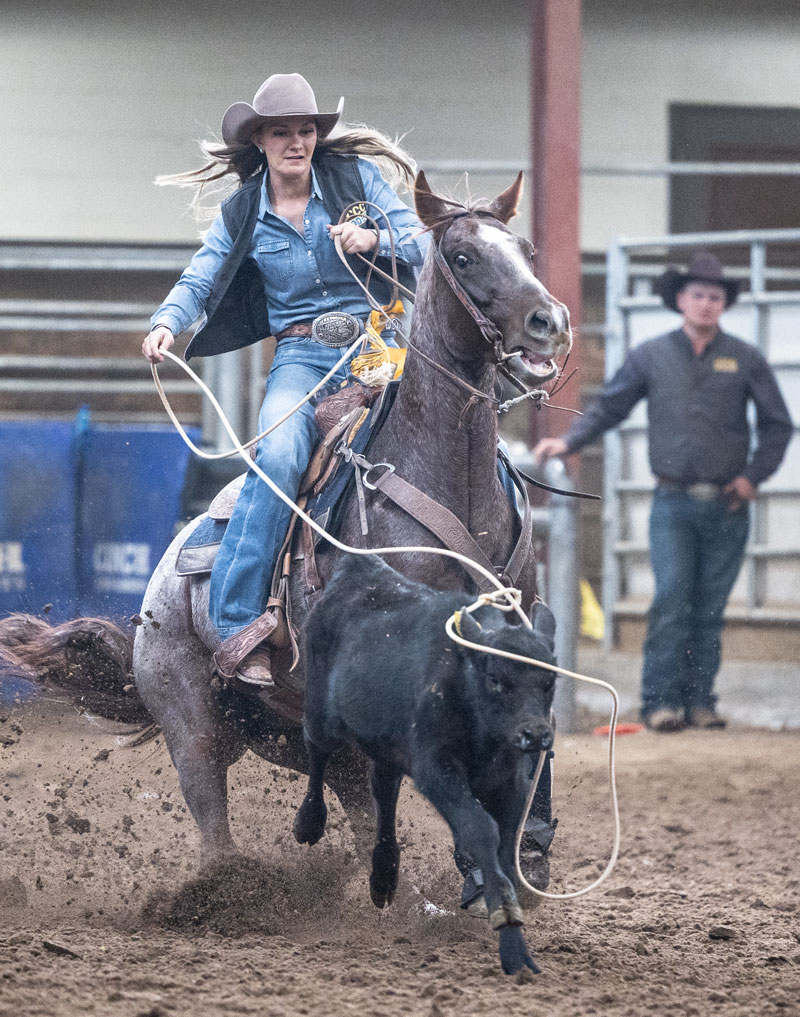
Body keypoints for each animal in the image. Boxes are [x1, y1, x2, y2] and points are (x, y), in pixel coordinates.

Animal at [0, 174, 569, 899]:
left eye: (526, 249)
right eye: (463, 256)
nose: (550, 322)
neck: (451, 489)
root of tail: (157, 590)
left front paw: (527, 852)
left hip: (300, 731)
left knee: (359, 801)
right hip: (191, 721)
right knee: (216, 817)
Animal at [294, 557, 557, 976]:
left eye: (548, 679)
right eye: (495, 678)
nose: (534, 734)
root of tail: (357, 568)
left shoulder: (509, 782)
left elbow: (506, 840)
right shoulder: (437, 771)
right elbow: (480, 829)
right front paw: (510, 936)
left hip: (386, 747)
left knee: (383, 792)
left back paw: (384, 876)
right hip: (321, 712)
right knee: (317, 753)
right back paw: (309, 822)